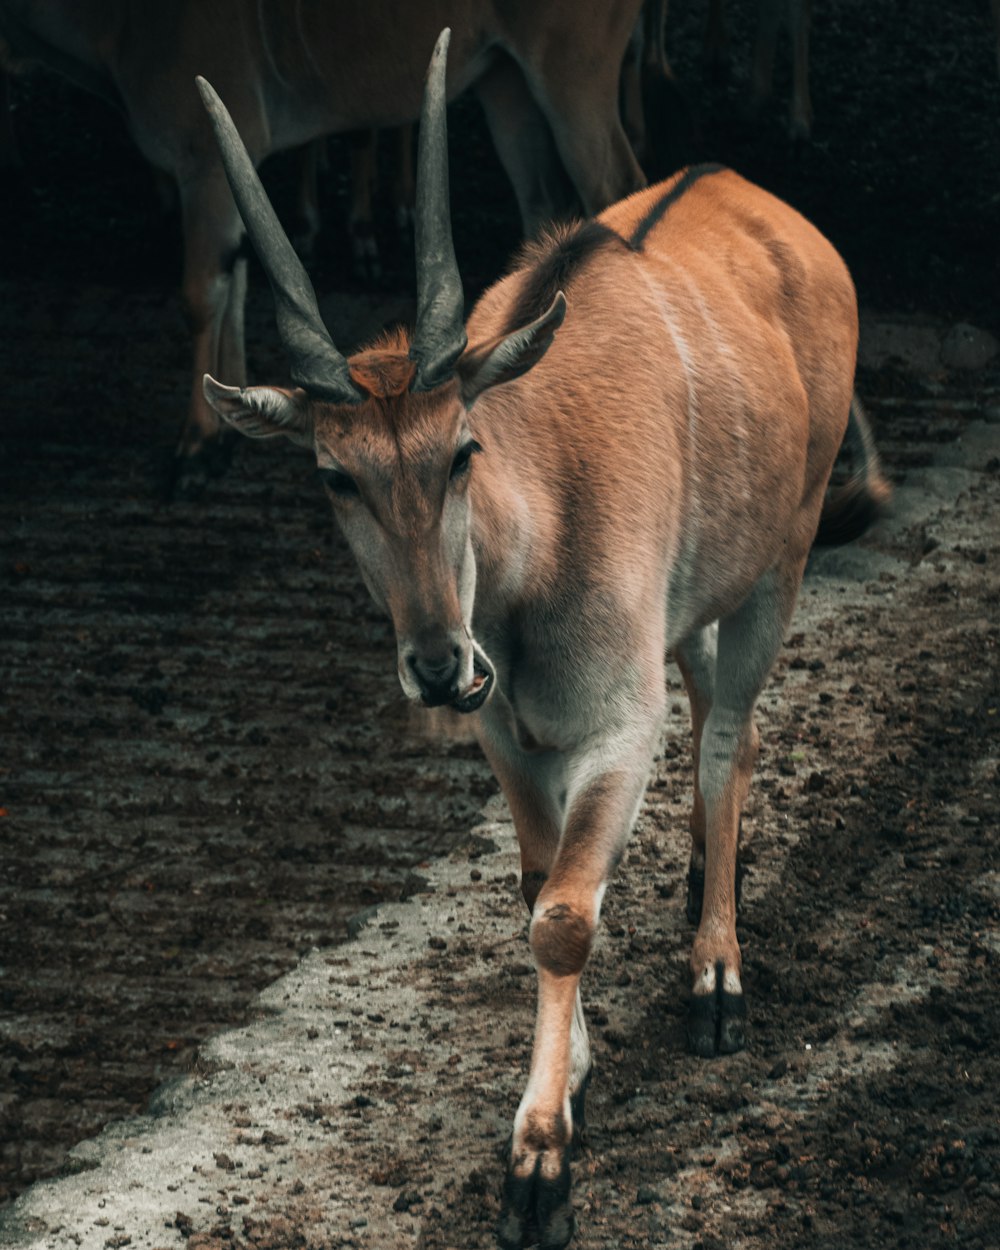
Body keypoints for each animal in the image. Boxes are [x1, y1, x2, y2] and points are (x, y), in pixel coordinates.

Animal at [0, 1, 650, 492]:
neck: (124, 27)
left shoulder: (203, 170)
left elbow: (202, 295)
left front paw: (196, 449)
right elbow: (237, 280)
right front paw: (229, 427)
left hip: (571, 76)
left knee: (616, 185)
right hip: (504, 83)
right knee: (542, 206)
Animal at [198, 24, 885, 1250]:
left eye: (461, 448)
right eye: (334, 474)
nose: (438, 665)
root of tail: (754, 193)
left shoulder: (615, 730)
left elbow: (564, 915)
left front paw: (538, 1162)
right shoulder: (512, 739)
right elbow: (534, 884)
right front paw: (573, 1078)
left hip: (787, 552)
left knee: (732, 734)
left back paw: (717, 973)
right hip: (700, 601)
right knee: (719, 719)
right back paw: (704, 878)